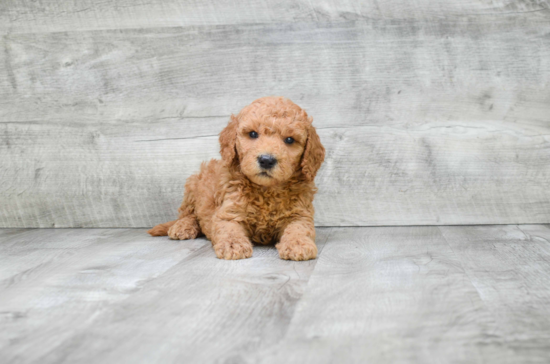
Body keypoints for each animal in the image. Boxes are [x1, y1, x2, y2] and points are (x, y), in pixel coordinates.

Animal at [149, 96, 326, 260]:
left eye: (289, 140)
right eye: (253, 134)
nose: (266, 160)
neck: (266, 190)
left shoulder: (300, 213)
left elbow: (299, 228)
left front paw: (298, 244)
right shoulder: (229, 211)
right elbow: (229, 229)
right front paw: (233, 245)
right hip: (193, 185)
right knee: (189, 214)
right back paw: (182, 227)